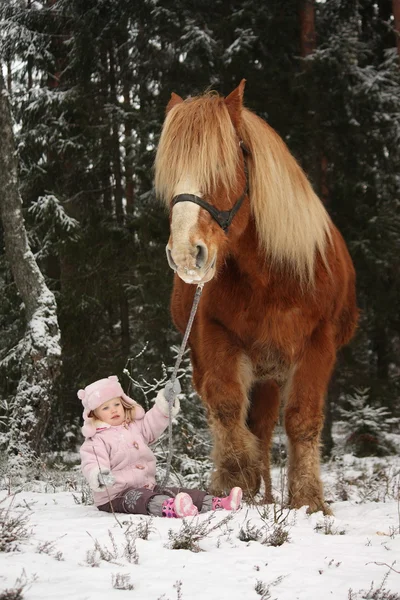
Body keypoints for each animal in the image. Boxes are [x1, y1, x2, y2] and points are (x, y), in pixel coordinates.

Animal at [155, 77, 358, 512]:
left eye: (223, 164)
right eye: (170, 175)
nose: (185, 254)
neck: (274, 279)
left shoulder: (317, 346)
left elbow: (301, 420)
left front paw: (308, 501)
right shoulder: (215, 339)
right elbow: (227, 408)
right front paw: (235, 482)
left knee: (265, 427)